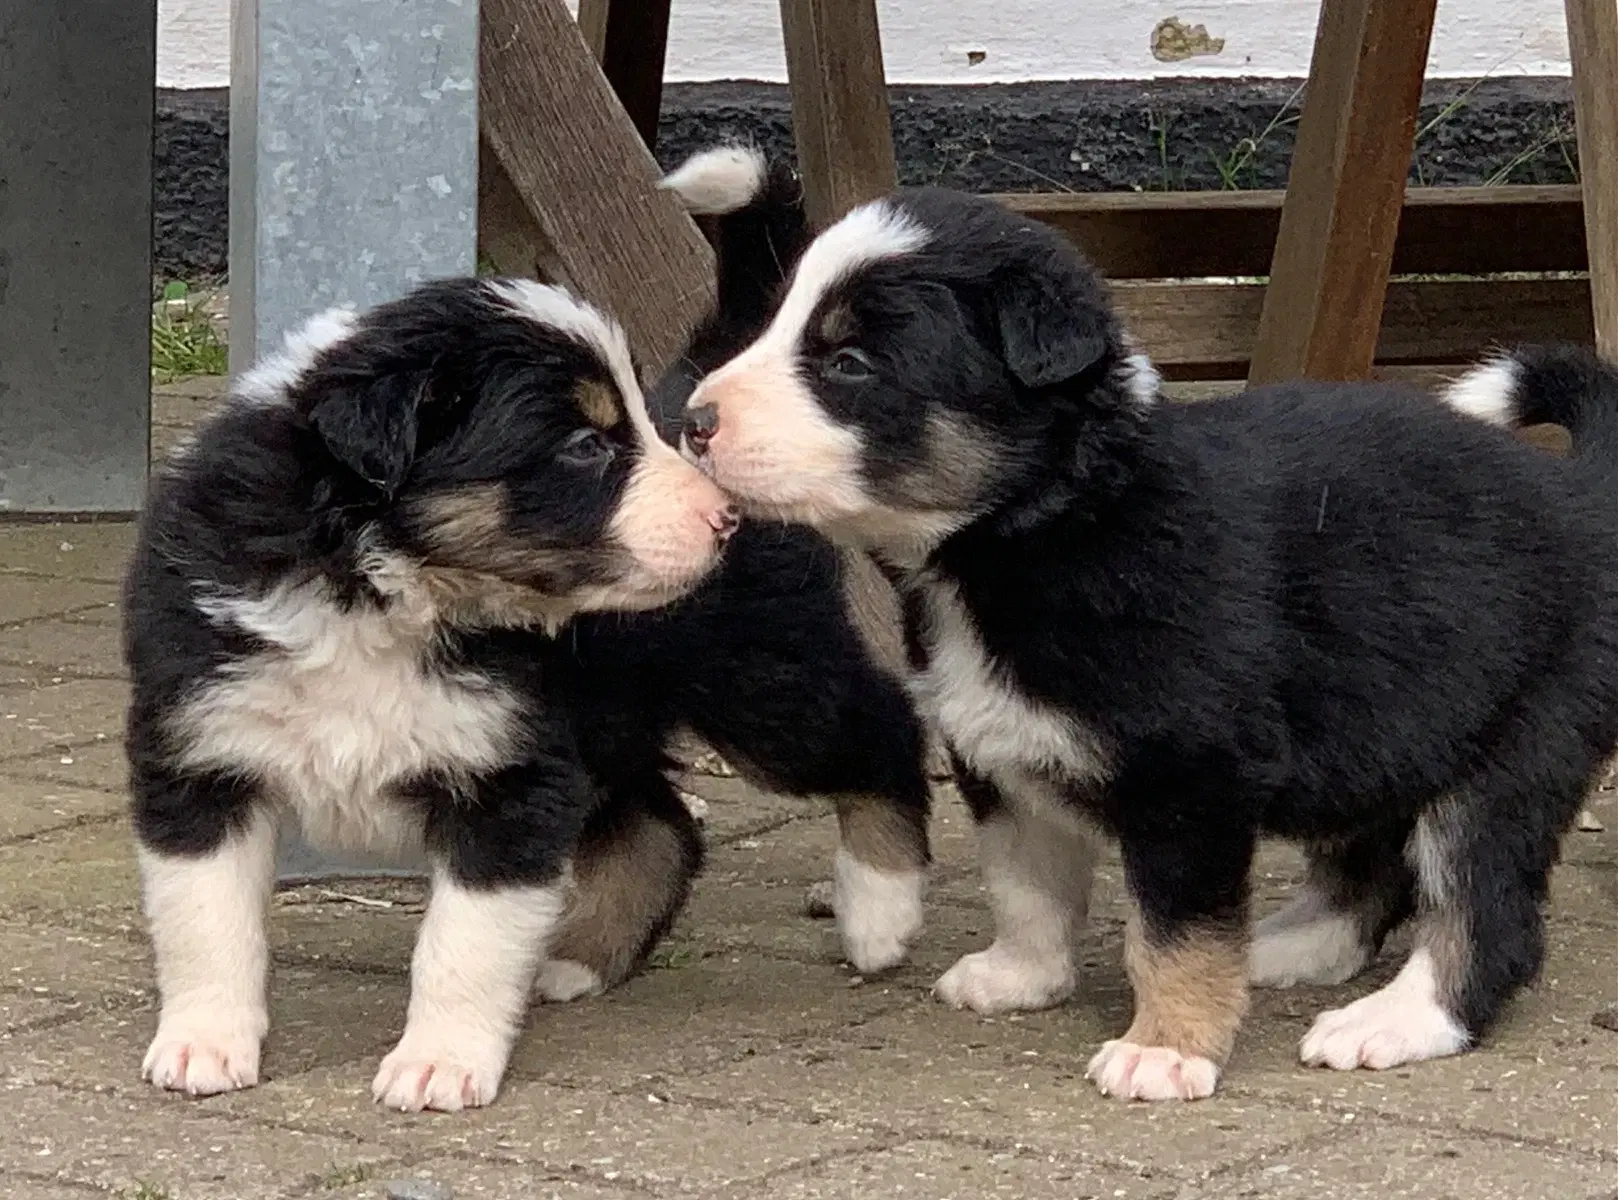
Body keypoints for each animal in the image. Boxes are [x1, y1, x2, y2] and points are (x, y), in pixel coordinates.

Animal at [126, 276, 741, 1112]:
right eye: (586, 445)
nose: (725, 520)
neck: (379, 588)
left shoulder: (511, 775)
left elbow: (464, 943)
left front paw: (439, 1064)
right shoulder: (200, 752)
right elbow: (204, 919)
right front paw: (202, 1045)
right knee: (657, 821)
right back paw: (582, 957)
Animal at [676, 190, 1618, 1106]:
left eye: (850, 364)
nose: (691, 422)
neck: (1048, 532)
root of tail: (1581, 490)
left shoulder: (1190, 779)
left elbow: (1175, 930)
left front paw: (1165, 1050)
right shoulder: (999, 749)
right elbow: (1026, 877)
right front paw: (1023, 974)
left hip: (1513, 748)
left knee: (1485, 912)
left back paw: (1392, 1020)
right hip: (1390, 723)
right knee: (1372, 863)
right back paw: (1288, 949)